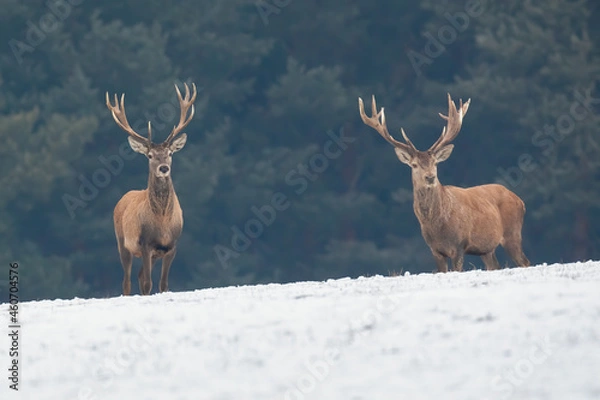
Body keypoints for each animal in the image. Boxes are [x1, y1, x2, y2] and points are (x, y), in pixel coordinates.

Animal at [104, 83, 196, 294]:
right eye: (150, 155)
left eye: (170, 153)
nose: (163, 168)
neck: (162, 223)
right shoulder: (145, 243)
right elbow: (148, 283)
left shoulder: (171, 246)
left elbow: (163, 285)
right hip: (122, 242)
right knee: (127, 281)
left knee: (138, 276)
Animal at [356, 94, 528, 272]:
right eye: (414, 165)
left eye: (435, 163)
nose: (430, 177)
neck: (437, 225)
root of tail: (520, 200)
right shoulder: (435, 250)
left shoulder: (460, 245)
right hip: (486, 249)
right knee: (495, 266)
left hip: (512, 233)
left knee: (525, 262)